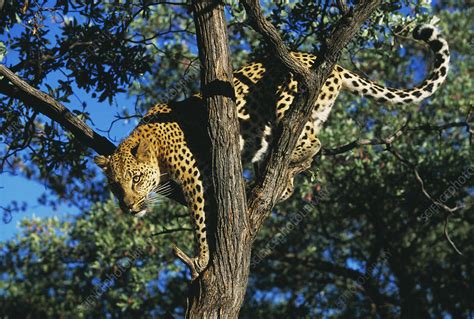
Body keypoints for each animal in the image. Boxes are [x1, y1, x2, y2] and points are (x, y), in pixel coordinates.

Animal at [94, 24, 450, 278]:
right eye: (115, 187)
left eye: (136, 179)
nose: (128, 206)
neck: (155, 149)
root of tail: (323, 62)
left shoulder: (194, 174)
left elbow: (198, 218)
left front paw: (201, 257)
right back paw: (269, 183)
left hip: (287, 104)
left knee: (311, 141)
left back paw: (288, 161)